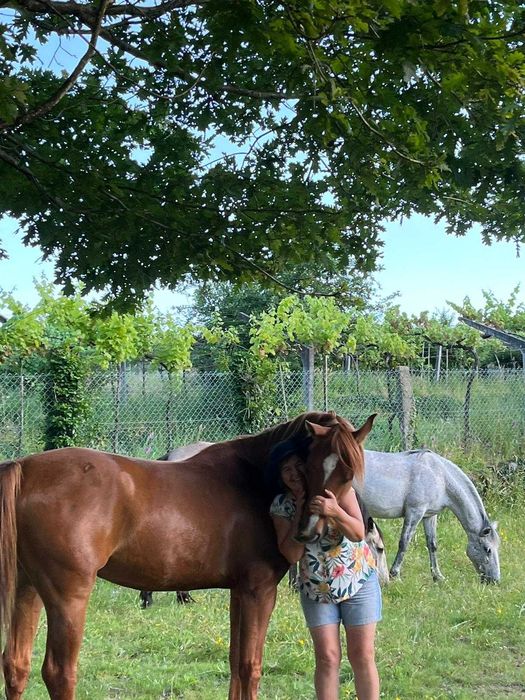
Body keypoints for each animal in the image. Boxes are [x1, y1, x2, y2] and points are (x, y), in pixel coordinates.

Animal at [354, 448, 500, 583]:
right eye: (487, 549)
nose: (495, 580)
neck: (441, 477)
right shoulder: (415, 512)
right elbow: (404, 543)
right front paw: (395, 575)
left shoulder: (429, 516)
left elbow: (432, 544)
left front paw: (437, 576)